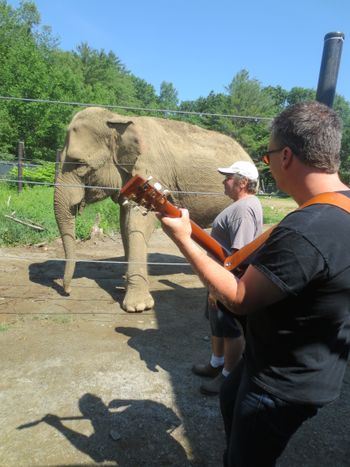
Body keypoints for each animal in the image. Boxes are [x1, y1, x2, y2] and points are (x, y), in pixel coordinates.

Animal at [55, 105, 254, 310]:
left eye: (79, 163)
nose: (67, 292)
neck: (118, 118)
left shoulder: (151, 168)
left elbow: (138, 224)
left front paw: (137, 307)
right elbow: (125, 224)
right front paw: (125, 285)